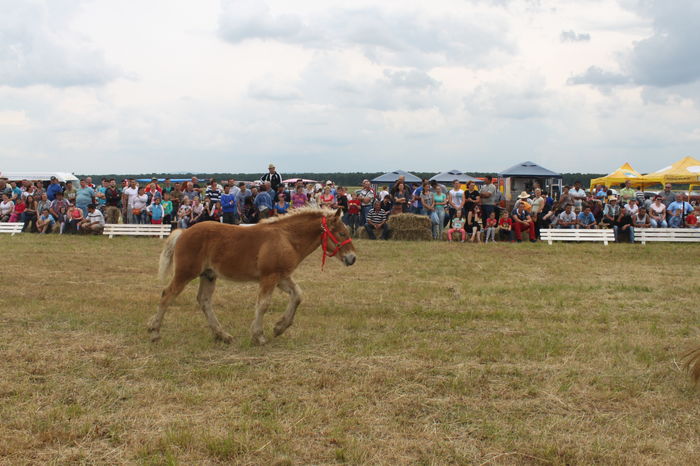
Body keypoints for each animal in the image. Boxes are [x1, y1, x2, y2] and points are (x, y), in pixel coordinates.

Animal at [148, 206, 356, 344]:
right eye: (341, 233)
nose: (352, 258)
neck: (287, 238)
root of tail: (183, 232)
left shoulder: (281, 277)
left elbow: (297, 295)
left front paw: (279, 327)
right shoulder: (269, 277)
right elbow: (263, 304)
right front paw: (259, 335)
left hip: (208, 275)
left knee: (204, 301)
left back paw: (222, 335)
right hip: (185, 273)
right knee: (167, 295)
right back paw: (154, 332)